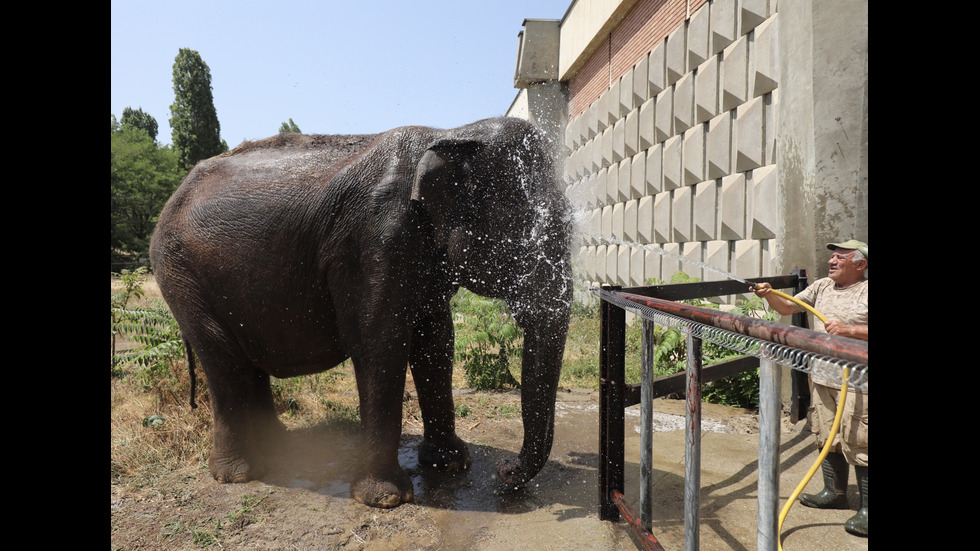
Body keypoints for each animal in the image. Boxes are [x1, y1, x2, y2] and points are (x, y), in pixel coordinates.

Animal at [152, 115, 576, 508]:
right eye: (520, 228)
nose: (506, 471)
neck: (450, 132)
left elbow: (436, 341)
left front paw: (451, 465)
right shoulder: (373, 244)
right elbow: (378, 344)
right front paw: (386, 499)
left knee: (246, 363)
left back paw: (280, 449)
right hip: (180, 276)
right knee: (224, 363)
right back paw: (238, 474)